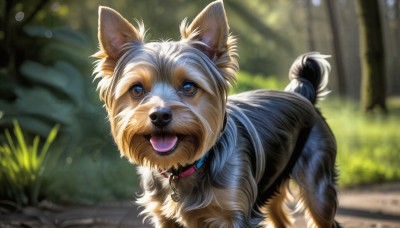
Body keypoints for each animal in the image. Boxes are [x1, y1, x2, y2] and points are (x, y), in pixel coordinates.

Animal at [92, 0, 340, 227]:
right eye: (136, 90)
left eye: (188, 87)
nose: (160, 116)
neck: (182, 168)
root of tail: (303, 93)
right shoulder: (164, 216)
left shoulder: (235, 213)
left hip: (317, 183)